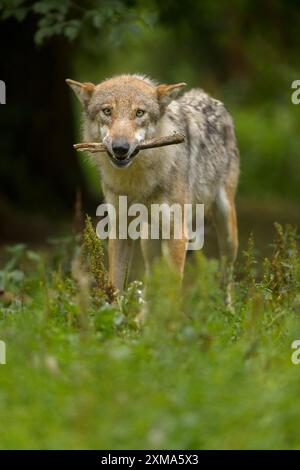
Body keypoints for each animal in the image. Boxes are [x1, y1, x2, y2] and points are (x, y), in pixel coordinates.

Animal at [65, 74, 239, 304]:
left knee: (228, 277)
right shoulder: (120, 230)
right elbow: (115, 287)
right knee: (151, 280)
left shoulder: (177, 234)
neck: (137, 183)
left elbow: (173, 291)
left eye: (140, 113)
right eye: (107, 111)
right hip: (149, 243)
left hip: (226, 230)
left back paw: (227, 309)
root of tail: (207, 97)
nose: (120, 148)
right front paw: (115, 313)